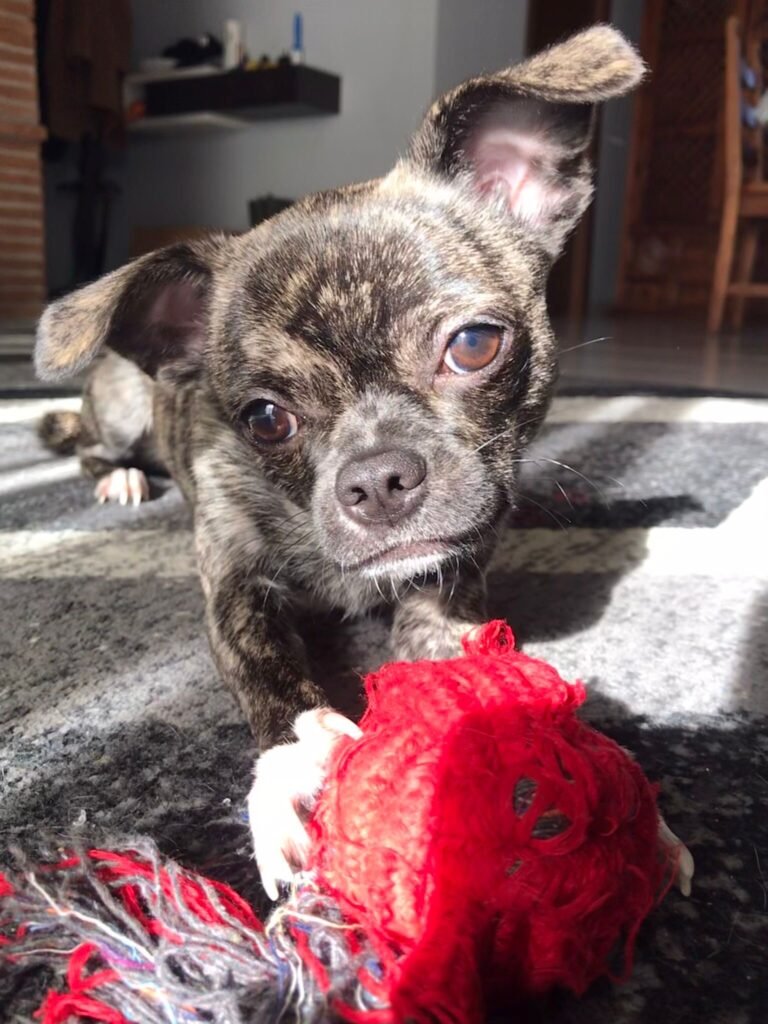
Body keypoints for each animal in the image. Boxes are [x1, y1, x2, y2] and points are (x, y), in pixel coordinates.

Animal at [36, 28, 657, 899]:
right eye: (265, 419)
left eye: (474, 345)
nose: (377, 478)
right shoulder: (234, 586)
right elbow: (264, 662)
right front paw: (298, 768)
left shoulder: (448, 589)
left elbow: (462, 662)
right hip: (120, 405)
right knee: (87, 440)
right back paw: (121, 477)